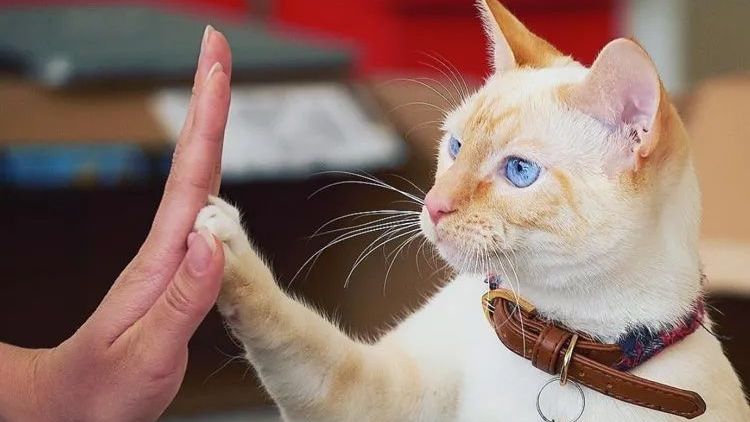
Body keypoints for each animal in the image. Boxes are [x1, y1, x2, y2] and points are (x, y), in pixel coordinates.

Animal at [195, 1, 750, 420]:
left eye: (520, 171)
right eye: (455, 147)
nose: (434, 205)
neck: (560, 352)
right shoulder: (372, 396)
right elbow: (294, 332)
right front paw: (217, 247)